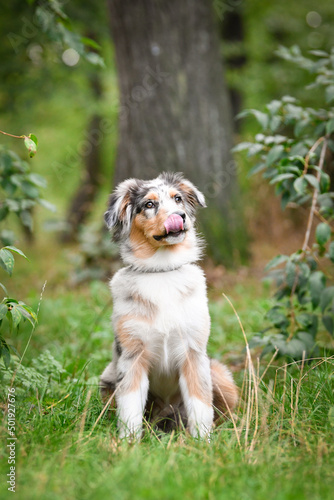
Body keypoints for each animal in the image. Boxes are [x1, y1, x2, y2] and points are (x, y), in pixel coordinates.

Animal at [99, 174, 237, 440]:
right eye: (149, 204)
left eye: (178, 199)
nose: (179, 216)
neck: (161, 271)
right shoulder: (132, 357)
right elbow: (130, 408)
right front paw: (128, 443)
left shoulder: (194, 353)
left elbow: (200, 404)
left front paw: (203, 442)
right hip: (107, 377)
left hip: (218, 373)